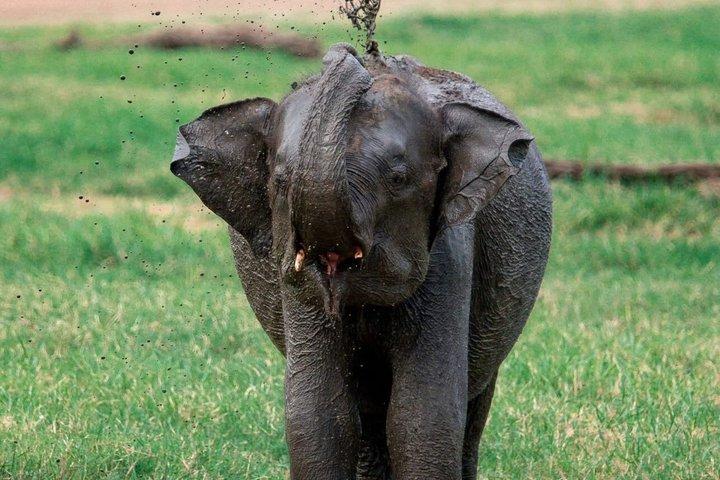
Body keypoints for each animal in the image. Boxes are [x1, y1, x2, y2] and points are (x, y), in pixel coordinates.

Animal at [171, 43, 552, 480]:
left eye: (398, 179)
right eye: (281, 181)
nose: (350, 50)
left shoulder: (449, 255)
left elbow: (422, 415)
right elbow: (318, 414)